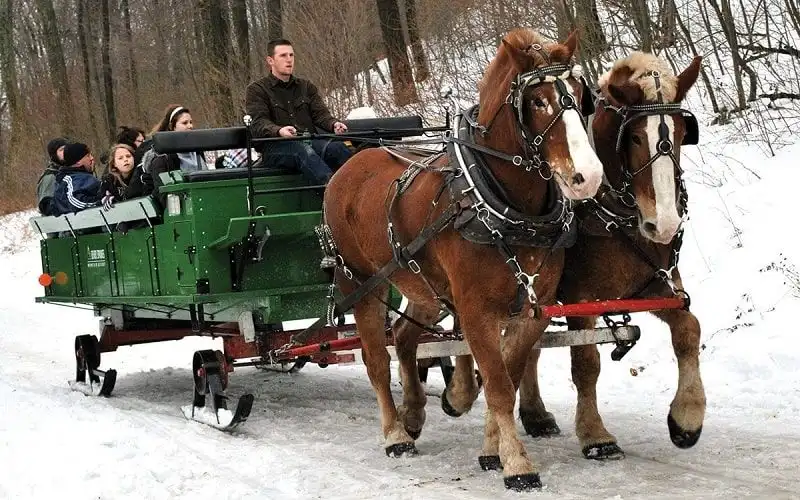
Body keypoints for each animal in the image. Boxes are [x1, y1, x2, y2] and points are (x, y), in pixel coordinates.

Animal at [322, 28, 603, 490]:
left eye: (581, 95)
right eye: (538, 101)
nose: (589, 176)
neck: (504, 205)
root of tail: (352, 161)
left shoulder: (533, 308)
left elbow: (505, 376)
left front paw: (490, 447)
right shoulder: (475, 310)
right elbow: (499, 384)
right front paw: (517, 464)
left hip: (423, 286)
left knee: (404, 335)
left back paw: (414, 412)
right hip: (360, 283)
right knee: (377, 360)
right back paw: (395, 434)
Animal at [513, 52, 706, 460]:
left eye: (684, 134)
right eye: (633, 136)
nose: (664, 224)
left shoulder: (657, 287)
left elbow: (688, 330)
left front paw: (687, 418)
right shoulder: (578, 299)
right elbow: (586, 363)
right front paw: (594, 435)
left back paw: (535, 415)